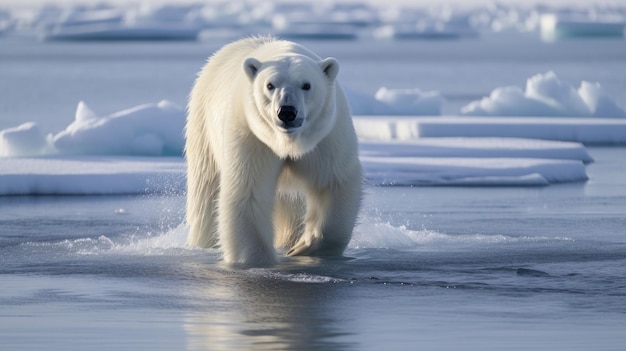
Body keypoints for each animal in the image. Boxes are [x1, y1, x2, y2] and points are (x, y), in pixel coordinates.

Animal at [184, 37, 360, 266]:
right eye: (270, 85)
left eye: (306, 85)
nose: (286, 112)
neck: (287, 142)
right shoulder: (251, 135)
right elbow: (249, 191)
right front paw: (255, 260)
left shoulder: (326, 137)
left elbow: (333, 182)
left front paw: (302, 248)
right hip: (203, 128)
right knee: (206, 193)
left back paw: (289, 239)